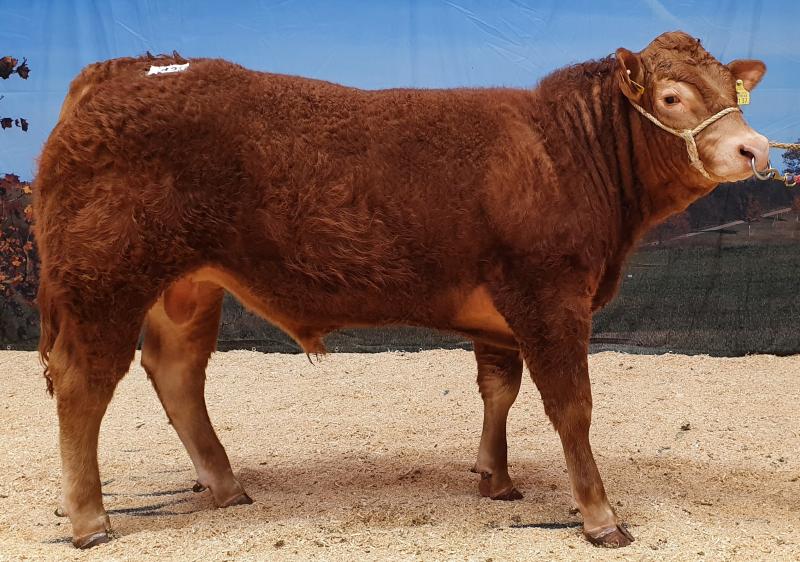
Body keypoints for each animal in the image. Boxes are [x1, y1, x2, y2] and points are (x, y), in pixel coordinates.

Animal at [34, 31, 768, 548]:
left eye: (732, 91)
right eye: (671, 98)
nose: (756, 148)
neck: (563, 153)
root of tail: (129, 68)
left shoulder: (501, 313)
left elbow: (499, 390)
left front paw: (496, 479)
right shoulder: (549, 294)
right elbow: (571, 407)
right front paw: (601, 517)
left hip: (187, 285)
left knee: (176, 371)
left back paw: (225, 485)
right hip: (103, 277)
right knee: (84, 382)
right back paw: (90, 520)